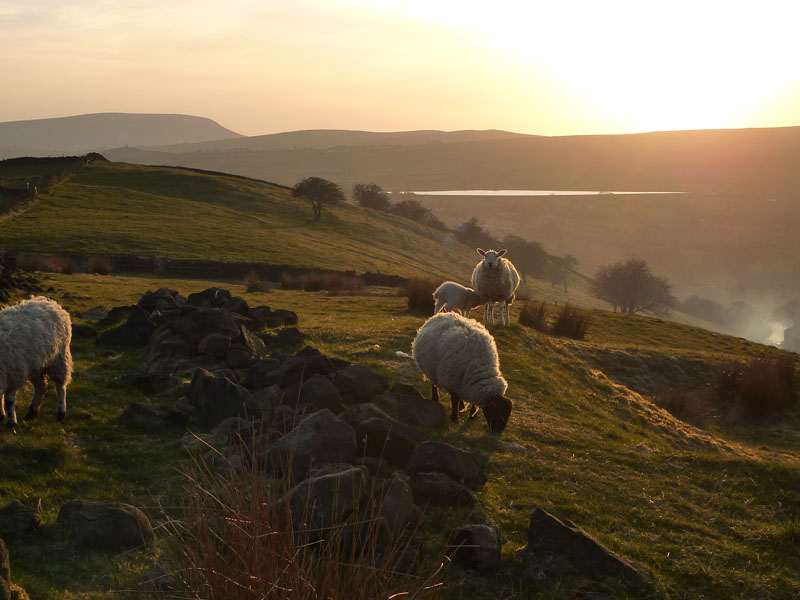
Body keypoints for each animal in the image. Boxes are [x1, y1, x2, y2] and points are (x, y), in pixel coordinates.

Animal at [0, 296, 72, 432]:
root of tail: (47, 301)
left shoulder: (13, 374)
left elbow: (9, 400)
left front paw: (12, 423)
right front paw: (1, 415)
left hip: (59, 359)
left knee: (60, 386)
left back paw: (61, 413)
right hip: (36, 365)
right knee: (41, 386)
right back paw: (32, 412)